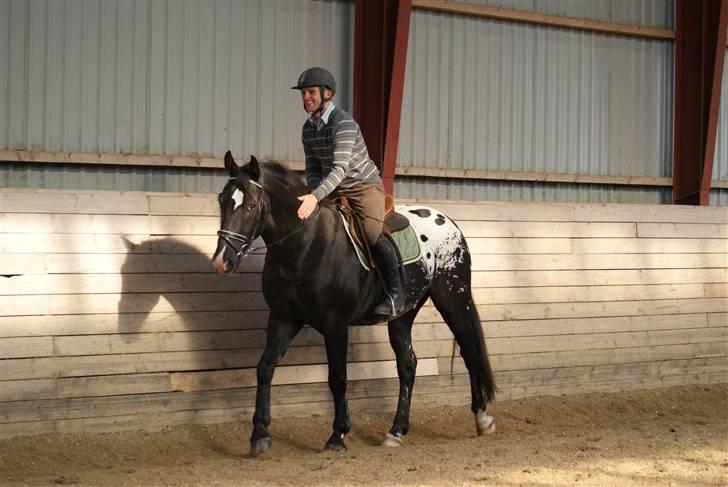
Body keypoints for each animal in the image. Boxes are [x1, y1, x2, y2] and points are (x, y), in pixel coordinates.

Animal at [210, 151, 494, 456]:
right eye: (222, 200)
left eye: (250, 205)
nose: (222, 261)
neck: (305, 245)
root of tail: (448, 221)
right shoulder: (283, 318)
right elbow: (265, 368)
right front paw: (259, 434)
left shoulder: (335, 324)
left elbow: (338, 378)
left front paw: (338, 435)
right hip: (403, 315)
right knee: (407, 365)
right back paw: (396, 431)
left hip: (454, 300)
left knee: (470, 353)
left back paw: (482, 419)